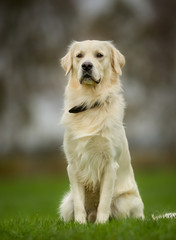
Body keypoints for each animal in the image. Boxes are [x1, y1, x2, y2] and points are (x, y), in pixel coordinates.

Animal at [58, 39, 144, 223]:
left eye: (99, 55)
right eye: (79, 56)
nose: (86, 65)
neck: (90, 102)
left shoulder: (109, 163)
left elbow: (104, 200)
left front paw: (101, 224)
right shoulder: (73, 165)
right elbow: (79, 203)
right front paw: (80, 224)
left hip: (124, 201)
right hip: (66, 203)